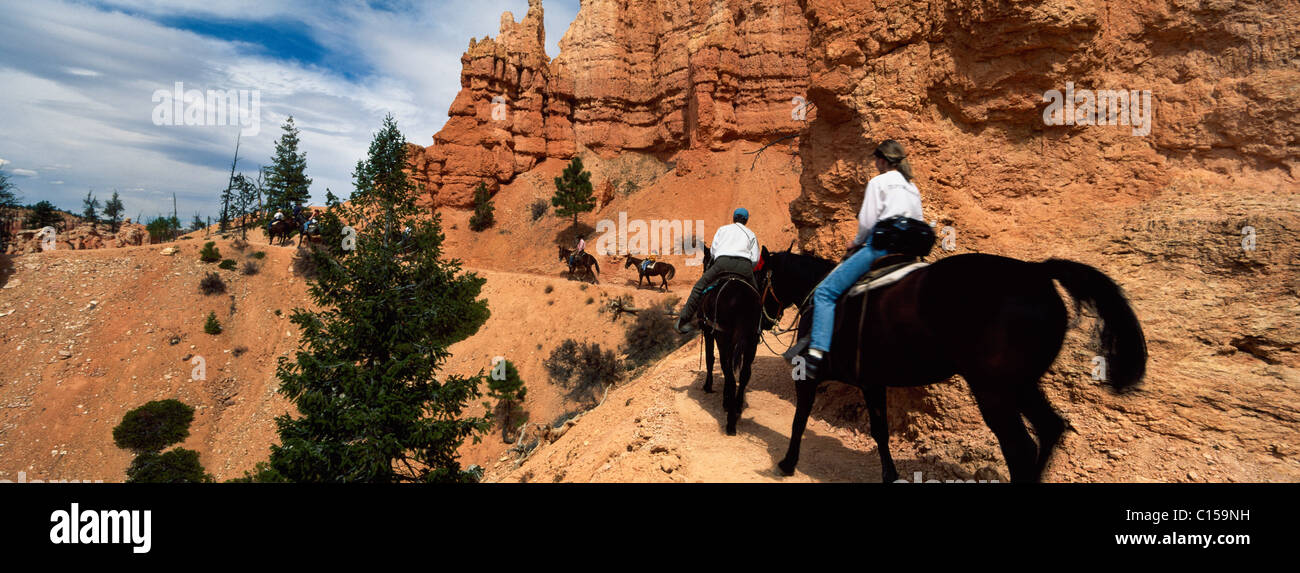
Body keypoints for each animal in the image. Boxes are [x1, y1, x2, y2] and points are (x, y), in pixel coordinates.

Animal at [696, 241, 774, 433]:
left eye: (704, 262)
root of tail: (742, 299)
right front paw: (726, 400)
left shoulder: (710, 333)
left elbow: (710, 359)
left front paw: (709, 387)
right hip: (751, 340)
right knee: (745, 373)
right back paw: (737, 407)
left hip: (724, 338)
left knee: (731, 376)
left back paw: (731, 422)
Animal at [759, 248, 1149, 480]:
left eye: (763, 277)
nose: (764, 320)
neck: (821, 295)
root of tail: (1037, 274)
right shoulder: (873, 383)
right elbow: (880, 431)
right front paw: (890, 475)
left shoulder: (808, 375)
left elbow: (799, 419)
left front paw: (787, 463)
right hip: (1021, 385)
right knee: (1050, 428)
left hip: (993, 390)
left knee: (1020, 448)